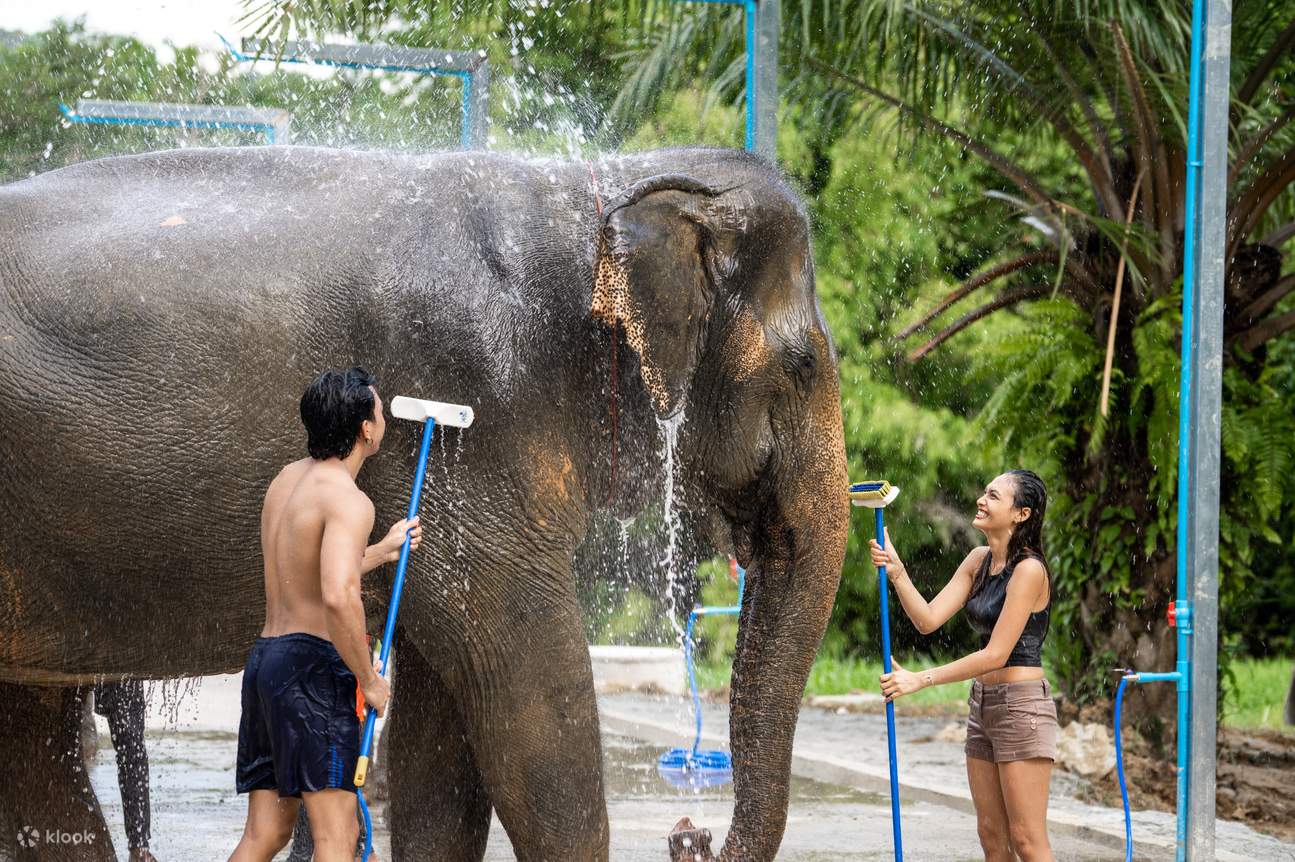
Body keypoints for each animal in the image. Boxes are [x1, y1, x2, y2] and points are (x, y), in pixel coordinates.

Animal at [0, 144, 849, 861]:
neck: (596, 185)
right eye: (805, 365)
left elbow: (441, 751)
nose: (686, 834)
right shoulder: (473, 433)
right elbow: (528, 705)